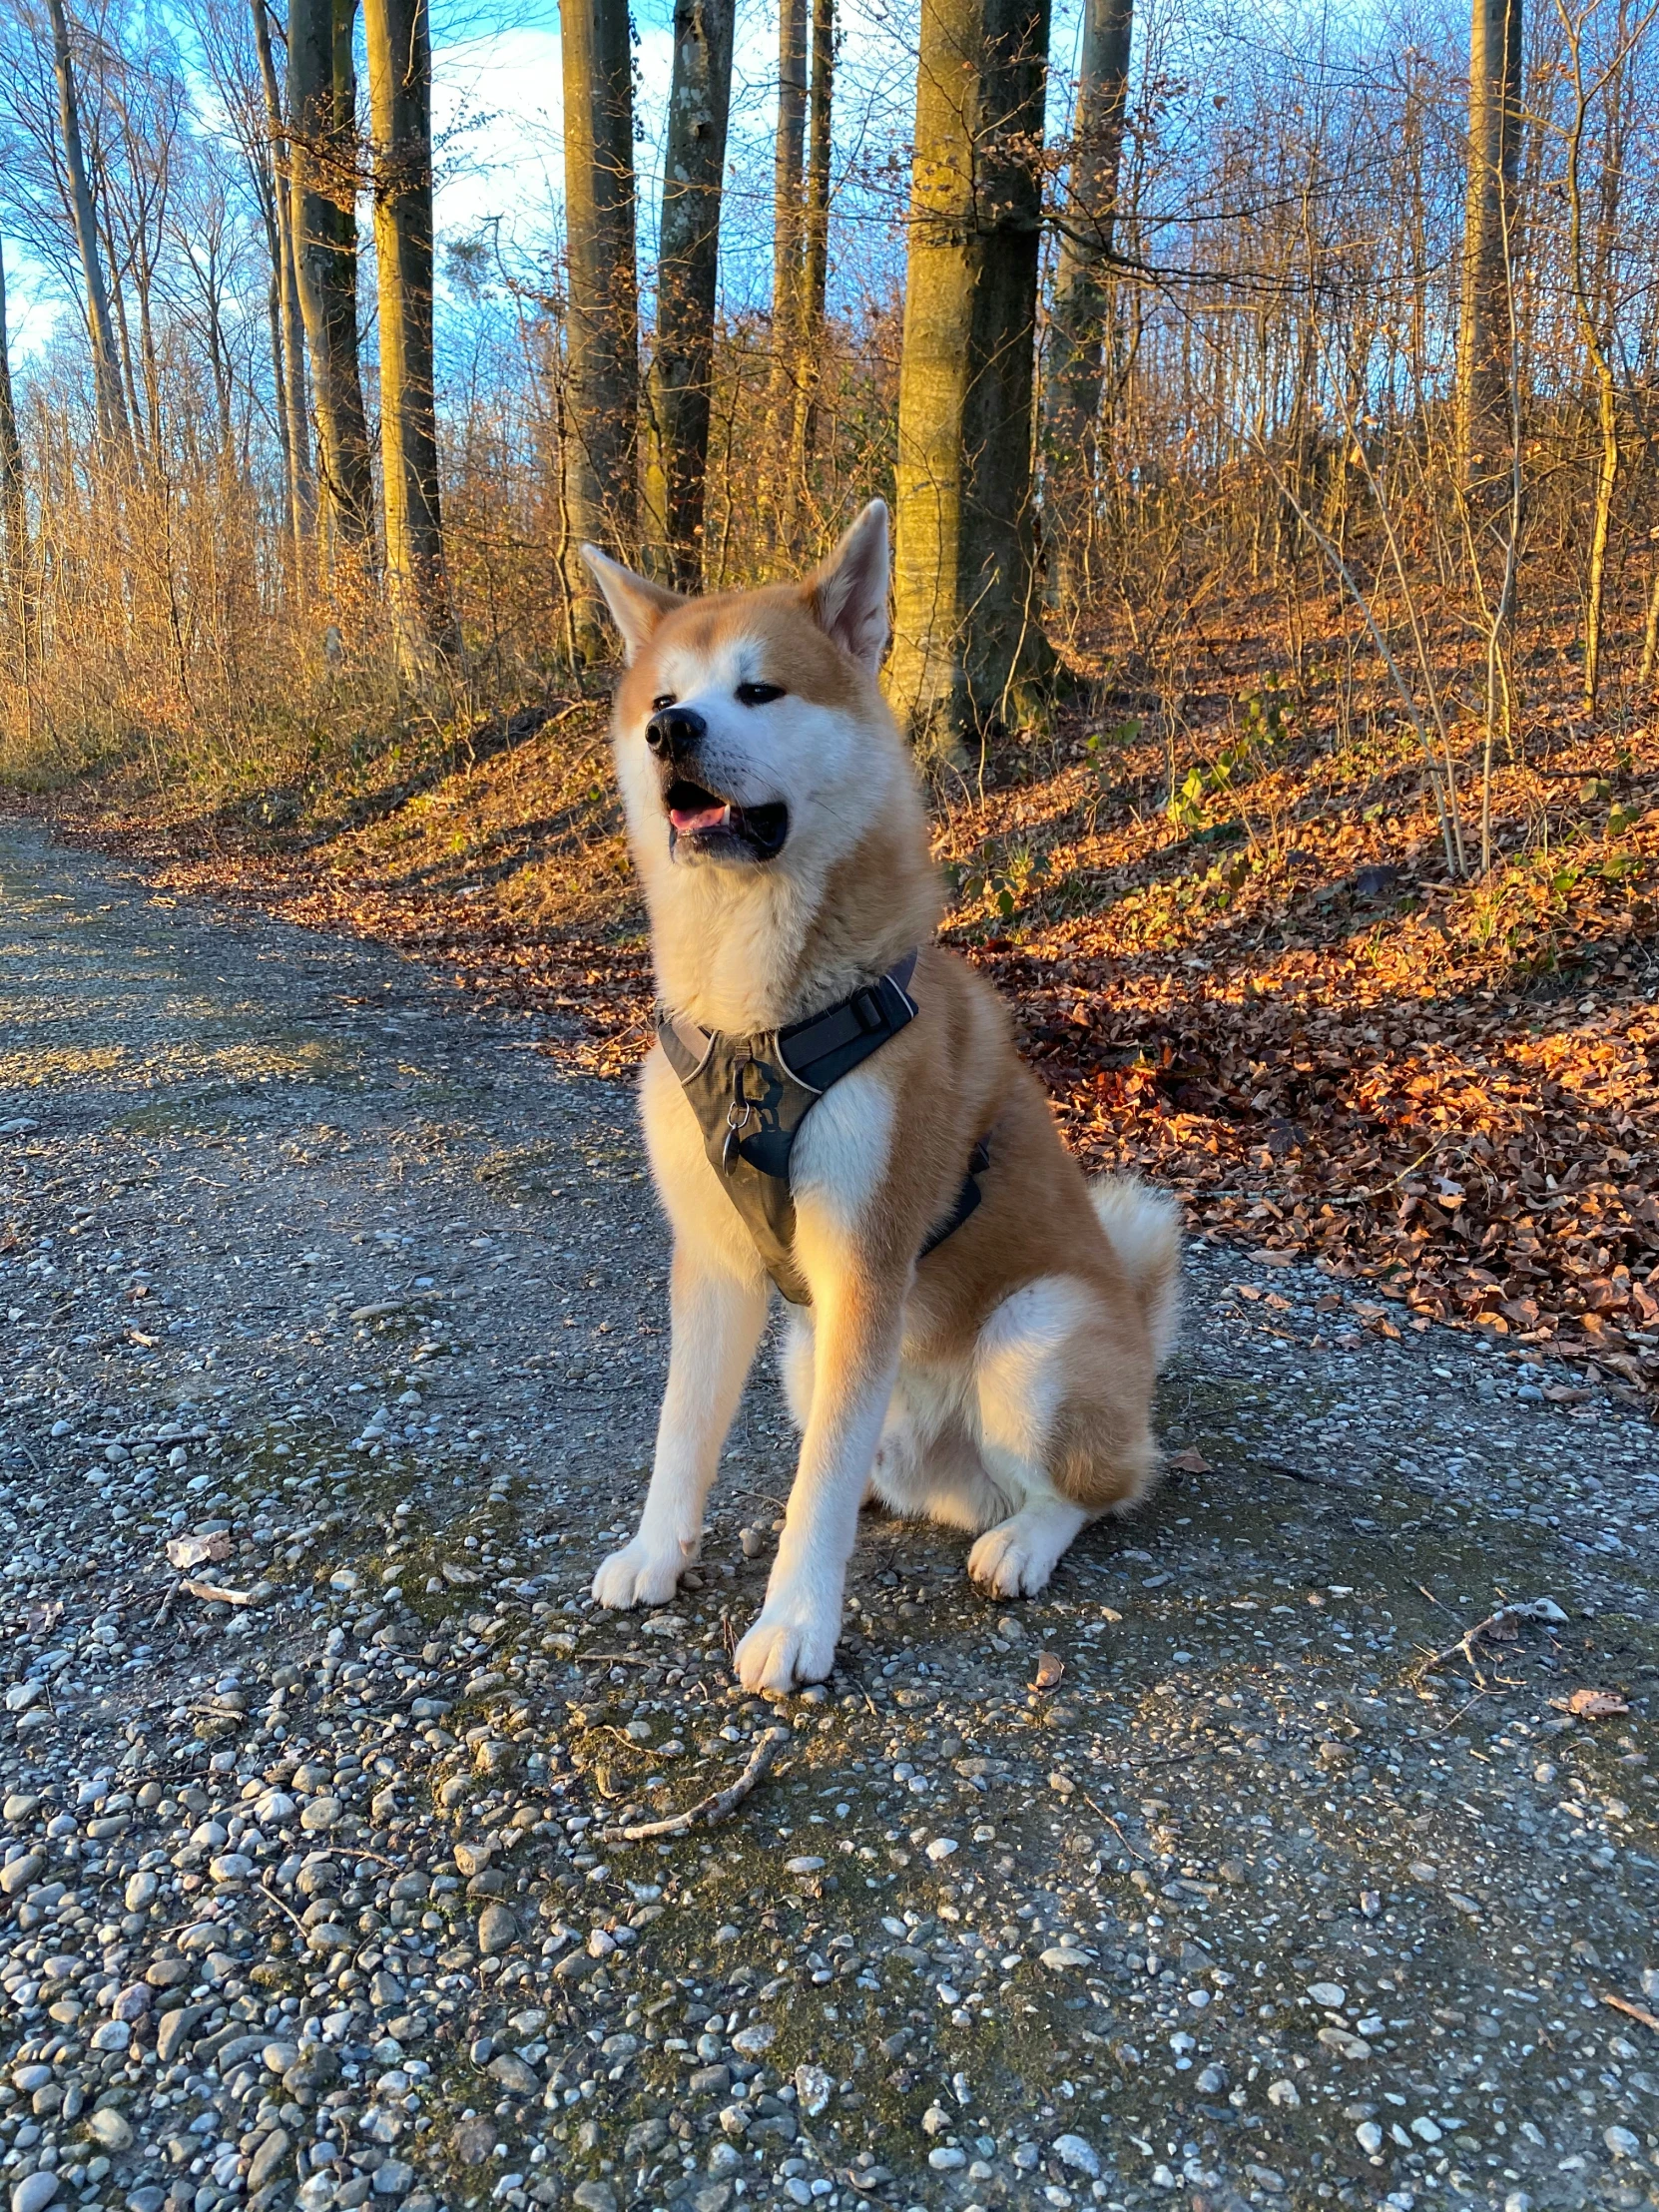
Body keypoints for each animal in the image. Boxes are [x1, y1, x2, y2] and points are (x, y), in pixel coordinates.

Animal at [584, 502, 1185, 1690]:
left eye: (759, 690)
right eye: (663, 702)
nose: (674, 734)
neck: (757, 1024)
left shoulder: (865, 1260)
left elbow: (813, 1493)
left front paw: (795, 1619)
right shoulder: (714, 1265)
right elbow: (682, 1436)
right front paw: (656, 1550)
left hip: (1034, 1335)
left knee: (1100, 1486)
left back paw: (1022, 1539)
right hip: (803, 1350)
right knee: (861, 1453)